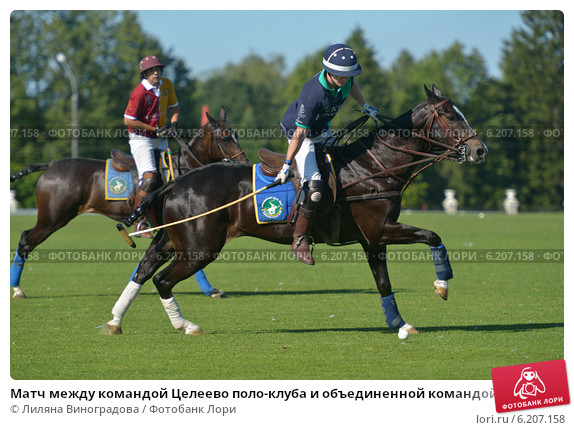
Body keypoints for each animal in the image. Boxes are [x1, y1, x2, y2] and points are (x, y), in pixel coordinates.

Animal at [10, 107, 250, 298]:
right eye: (225, 137)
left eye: (236, 134)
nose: (245, 162)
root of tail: (49, 165)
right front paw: (211, 290)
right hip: (53, 218)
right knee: (26, 241)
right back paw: (18, 290)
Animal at [110, 85, 488, 338]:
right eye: (450, 114)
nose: (479, 150)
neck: (374, 167)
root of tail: (175, 182)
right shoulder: (380, 230)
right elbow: (433, 235)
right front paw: (442, 284)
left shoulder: (372, 239)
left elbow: (384, 283)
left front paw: (400, 323)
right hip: (200, 247)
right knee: (161, 279)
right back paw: (185, 325)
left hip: (174, 239)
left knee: (143, 269)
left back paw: (114, 321)